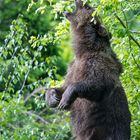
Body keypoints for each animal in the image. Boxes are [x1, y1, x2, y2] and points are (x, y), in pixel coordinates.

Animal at [45, 0, 130, 139]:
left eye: (88, 7)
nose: (82, 1)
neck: (84, 50)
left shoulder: (98, 64)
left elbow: (98, 84)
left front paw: (65, 98)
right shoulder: (72, 69)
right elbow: (63, 87)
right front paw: (53, 98)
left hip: (108, 130)